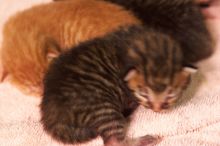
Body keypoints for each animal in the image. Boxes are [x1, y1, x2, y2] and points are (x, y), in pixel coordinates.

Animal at [40, 24, 194, 145]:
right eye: (144, 94)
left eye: (170, 95)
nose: (156, 110)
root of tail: (51, 117)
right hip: (103, 107)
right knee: (113, 142)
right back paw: (145, 139)